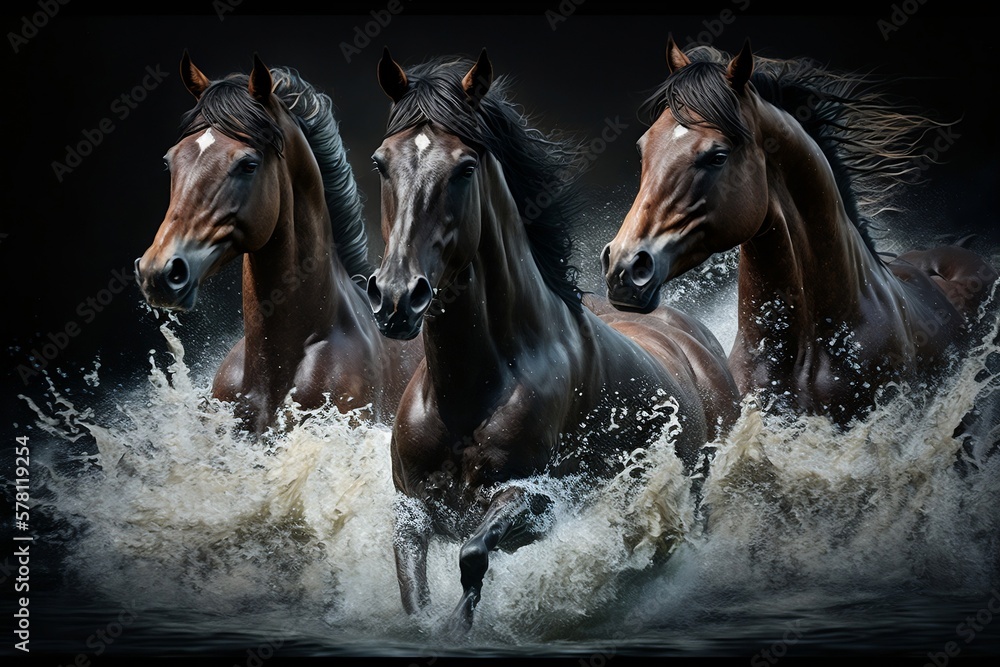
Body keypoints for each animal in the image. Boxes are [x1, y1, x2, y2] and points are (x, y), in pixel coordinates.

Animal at [366, 47, 742, 632]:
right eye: (382, 162)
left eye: (465, 168)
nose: (396, 298)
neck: (469, 390)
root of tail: (697, 340)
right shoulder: (410, 512)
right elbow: (415, 592)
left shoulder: (541, 502)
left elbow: (473, 555)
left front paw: (459, 628)